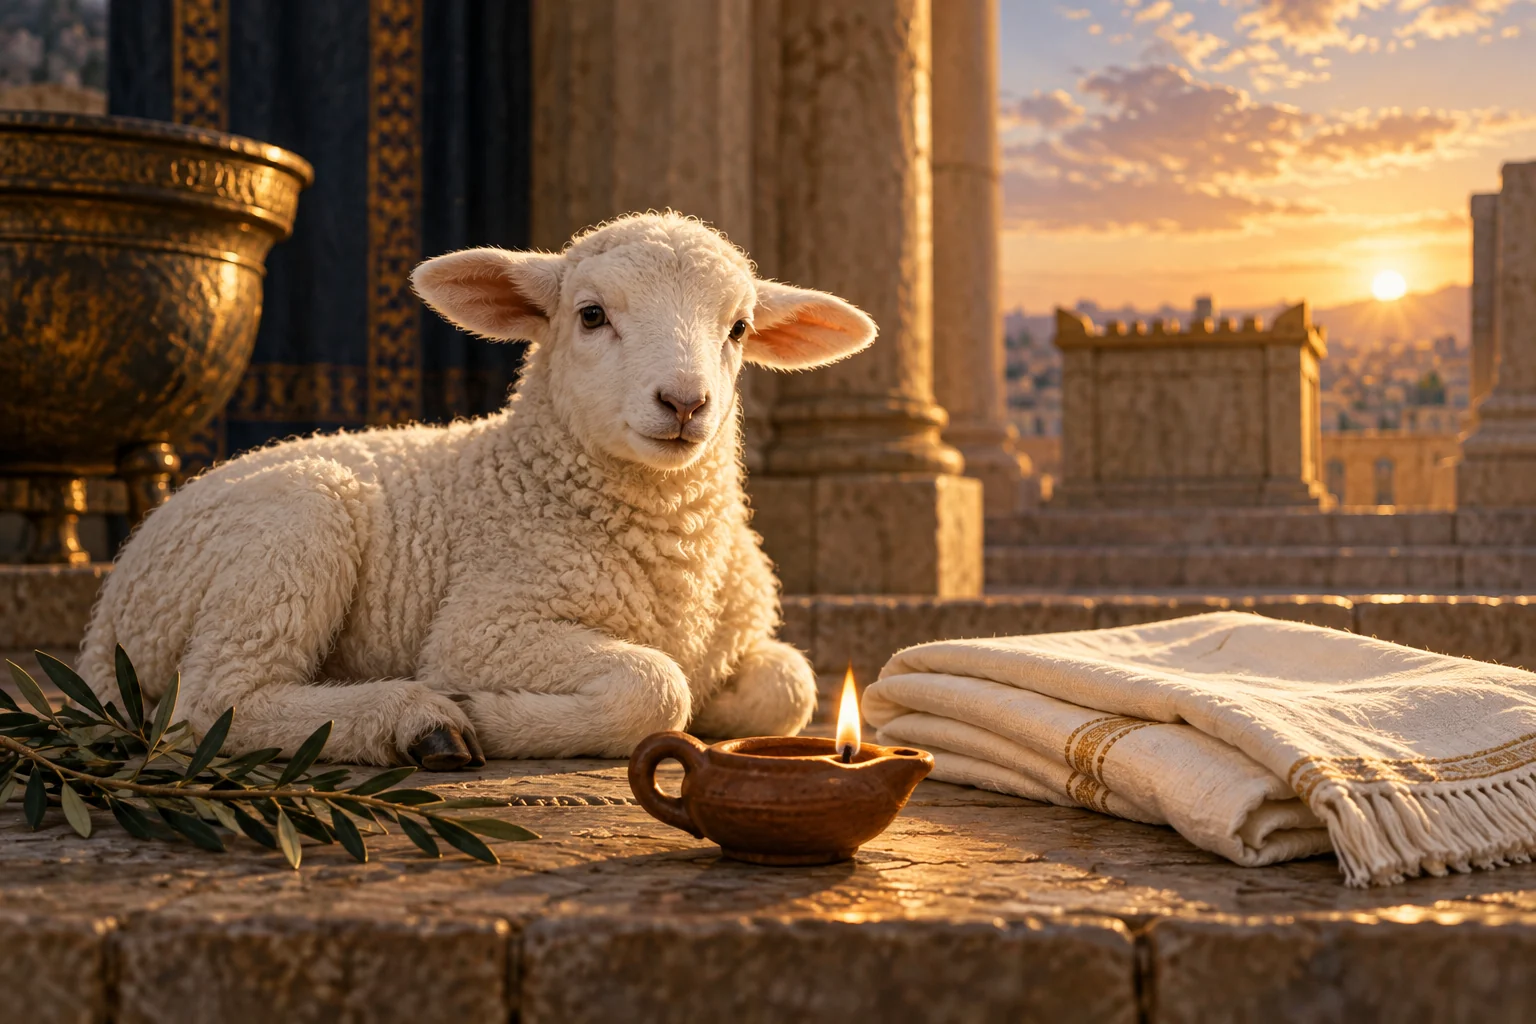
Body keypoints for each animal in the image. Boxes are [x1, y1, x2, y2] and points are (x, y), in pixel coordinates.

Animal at [78, 211, 876, 769]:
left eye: (738, 327)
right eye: (591, 315)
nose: (684, 403)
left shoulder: (740, 639)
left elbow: (790, 685)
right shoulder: (485, 628)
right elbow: (657, 686)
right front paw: (489, 712)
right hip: (288, 533)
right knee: (216, 701)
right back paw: (418, 722)